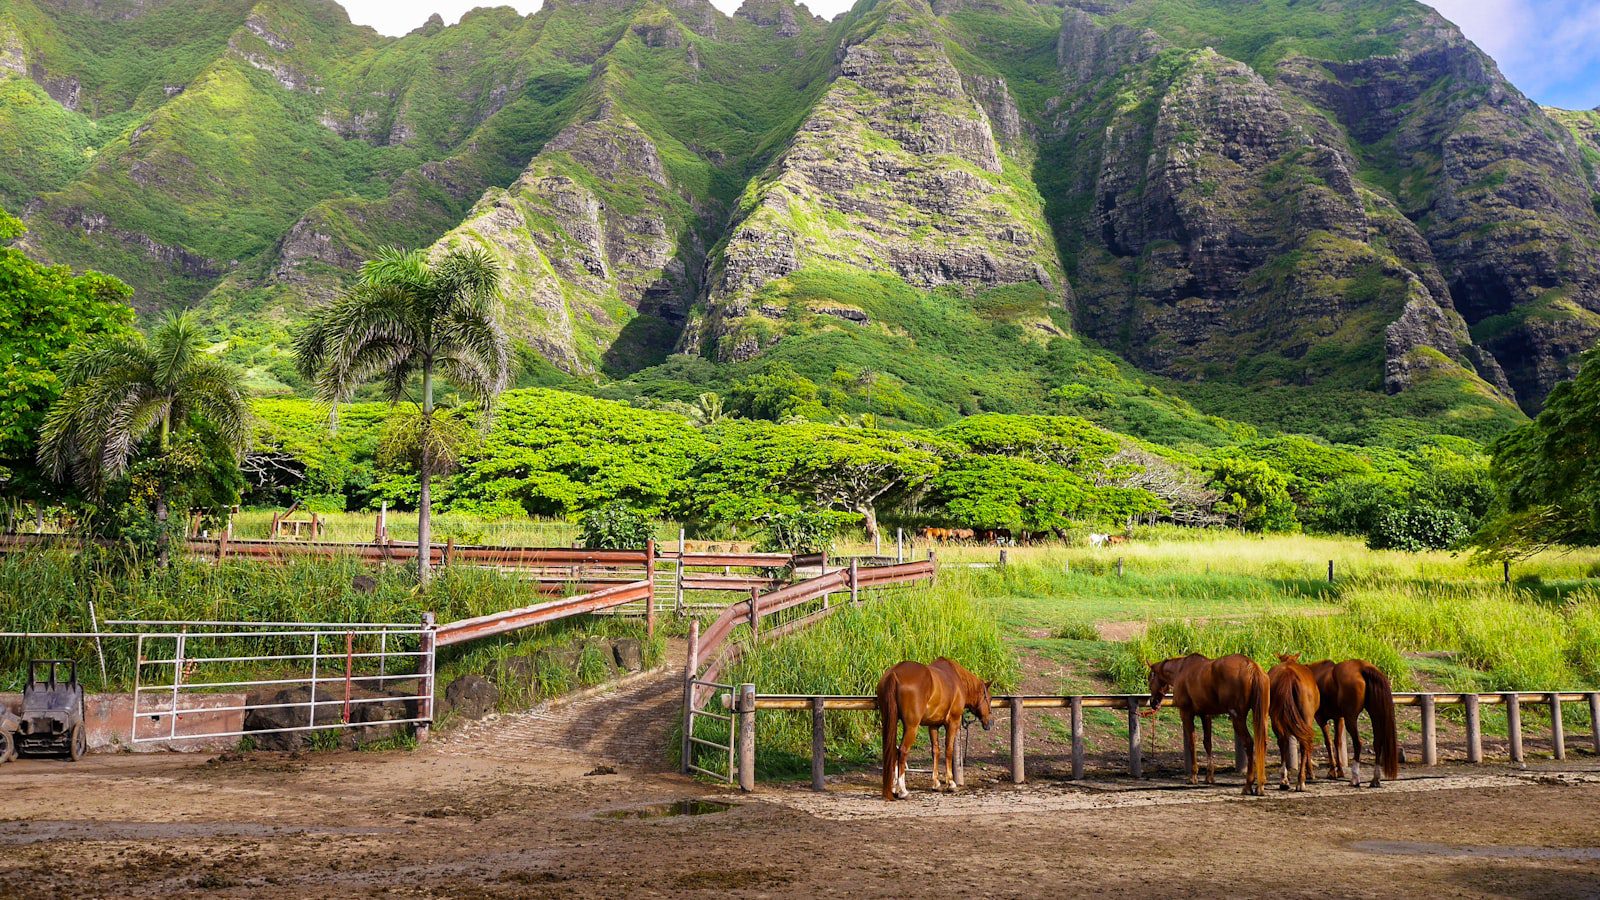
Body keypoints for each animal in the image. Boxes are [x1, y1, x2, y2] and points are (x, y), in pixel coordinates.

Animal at [876, 656, 985, 794]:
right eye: (988, 698)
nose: (989, 722)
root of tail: (894, 674)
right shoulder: (953, 722)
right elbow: (949, 749)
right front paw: (951, 783)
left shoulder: (933, 726)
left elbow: (935, 751)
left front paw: (936, 783)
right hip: (912, 727)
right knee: (903, 751)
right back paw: (903, 790)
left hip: (891, 722)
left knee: (894, 751)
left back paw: (894, 788)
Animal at [1145, 650, 1267, 791]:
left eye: (1150, 679)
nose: (1153, 703)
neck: (1181, 669)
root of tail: (1251, 666)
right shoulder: (1206, 715)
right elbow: (1207, 743)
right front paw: (1209, 776)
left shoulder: (1186, 714)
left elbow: (1192, 743)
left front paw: (1193, 776)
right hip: (1261, 717)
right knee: (1262, 742)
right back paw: (1261, 783)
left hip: (1237, 718)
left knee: (1249, 743)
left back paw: (1248, 784)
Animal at [1267, 646, 1318, 787]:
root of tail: (1288, 674)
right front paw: (1310, 772)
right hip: (1306, 717)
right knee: (1304, 743)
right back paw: (1301, 780)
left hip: (1275, 717)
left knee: (1282, 740)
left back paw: (1284, 778)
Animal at [1312, 650, 1401, 784]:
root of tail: (1362, 667)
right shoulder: (1339, 718)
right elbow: (1337, 742)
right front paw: (1339, 771)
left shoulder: (1321, 719)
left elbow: (1328, 742)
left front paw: (1333, 771)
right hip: (1374, 715)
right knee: (1377, 743)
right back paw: (1375, 779)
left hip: (1351, 718)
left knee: (1358, 743)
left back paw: (1355, 778)